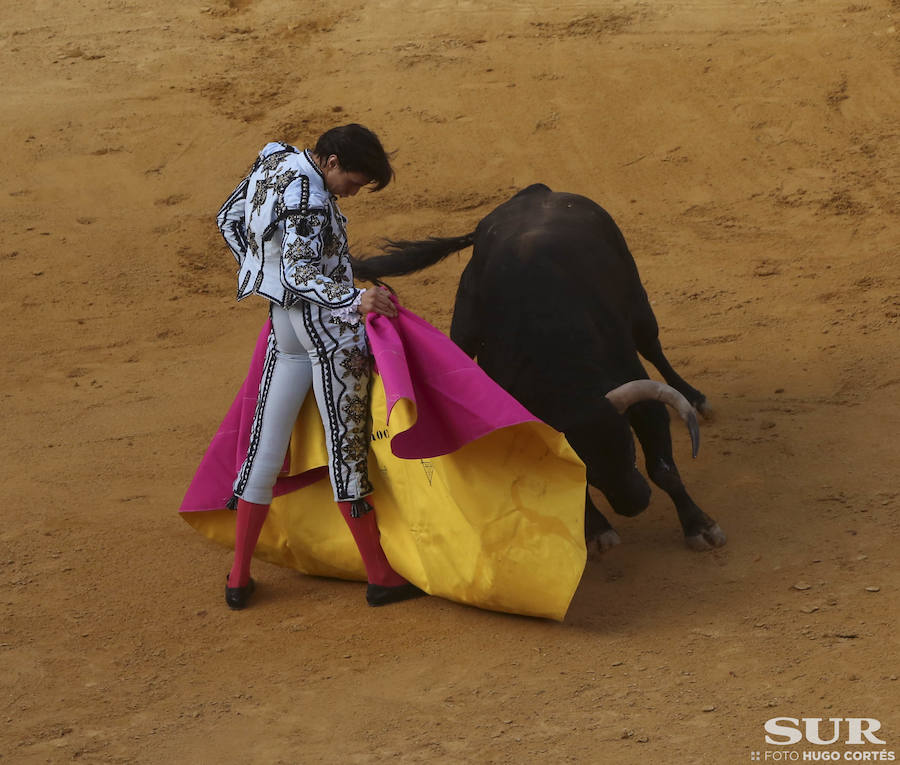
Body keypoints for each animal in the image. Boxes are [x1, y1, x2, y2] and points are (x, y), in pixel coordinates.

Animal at [352, 187, 724, 556]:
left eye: (629, 446)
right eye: (586, 468)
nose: (635, 503)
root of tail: (534, 192)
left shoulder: (639, 396)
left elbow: (663, 469)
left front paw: (701, 527)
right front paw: (597, 529)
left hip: (637, 301)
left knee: (651, 344)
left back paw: (696, 398)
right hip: (464, 327)